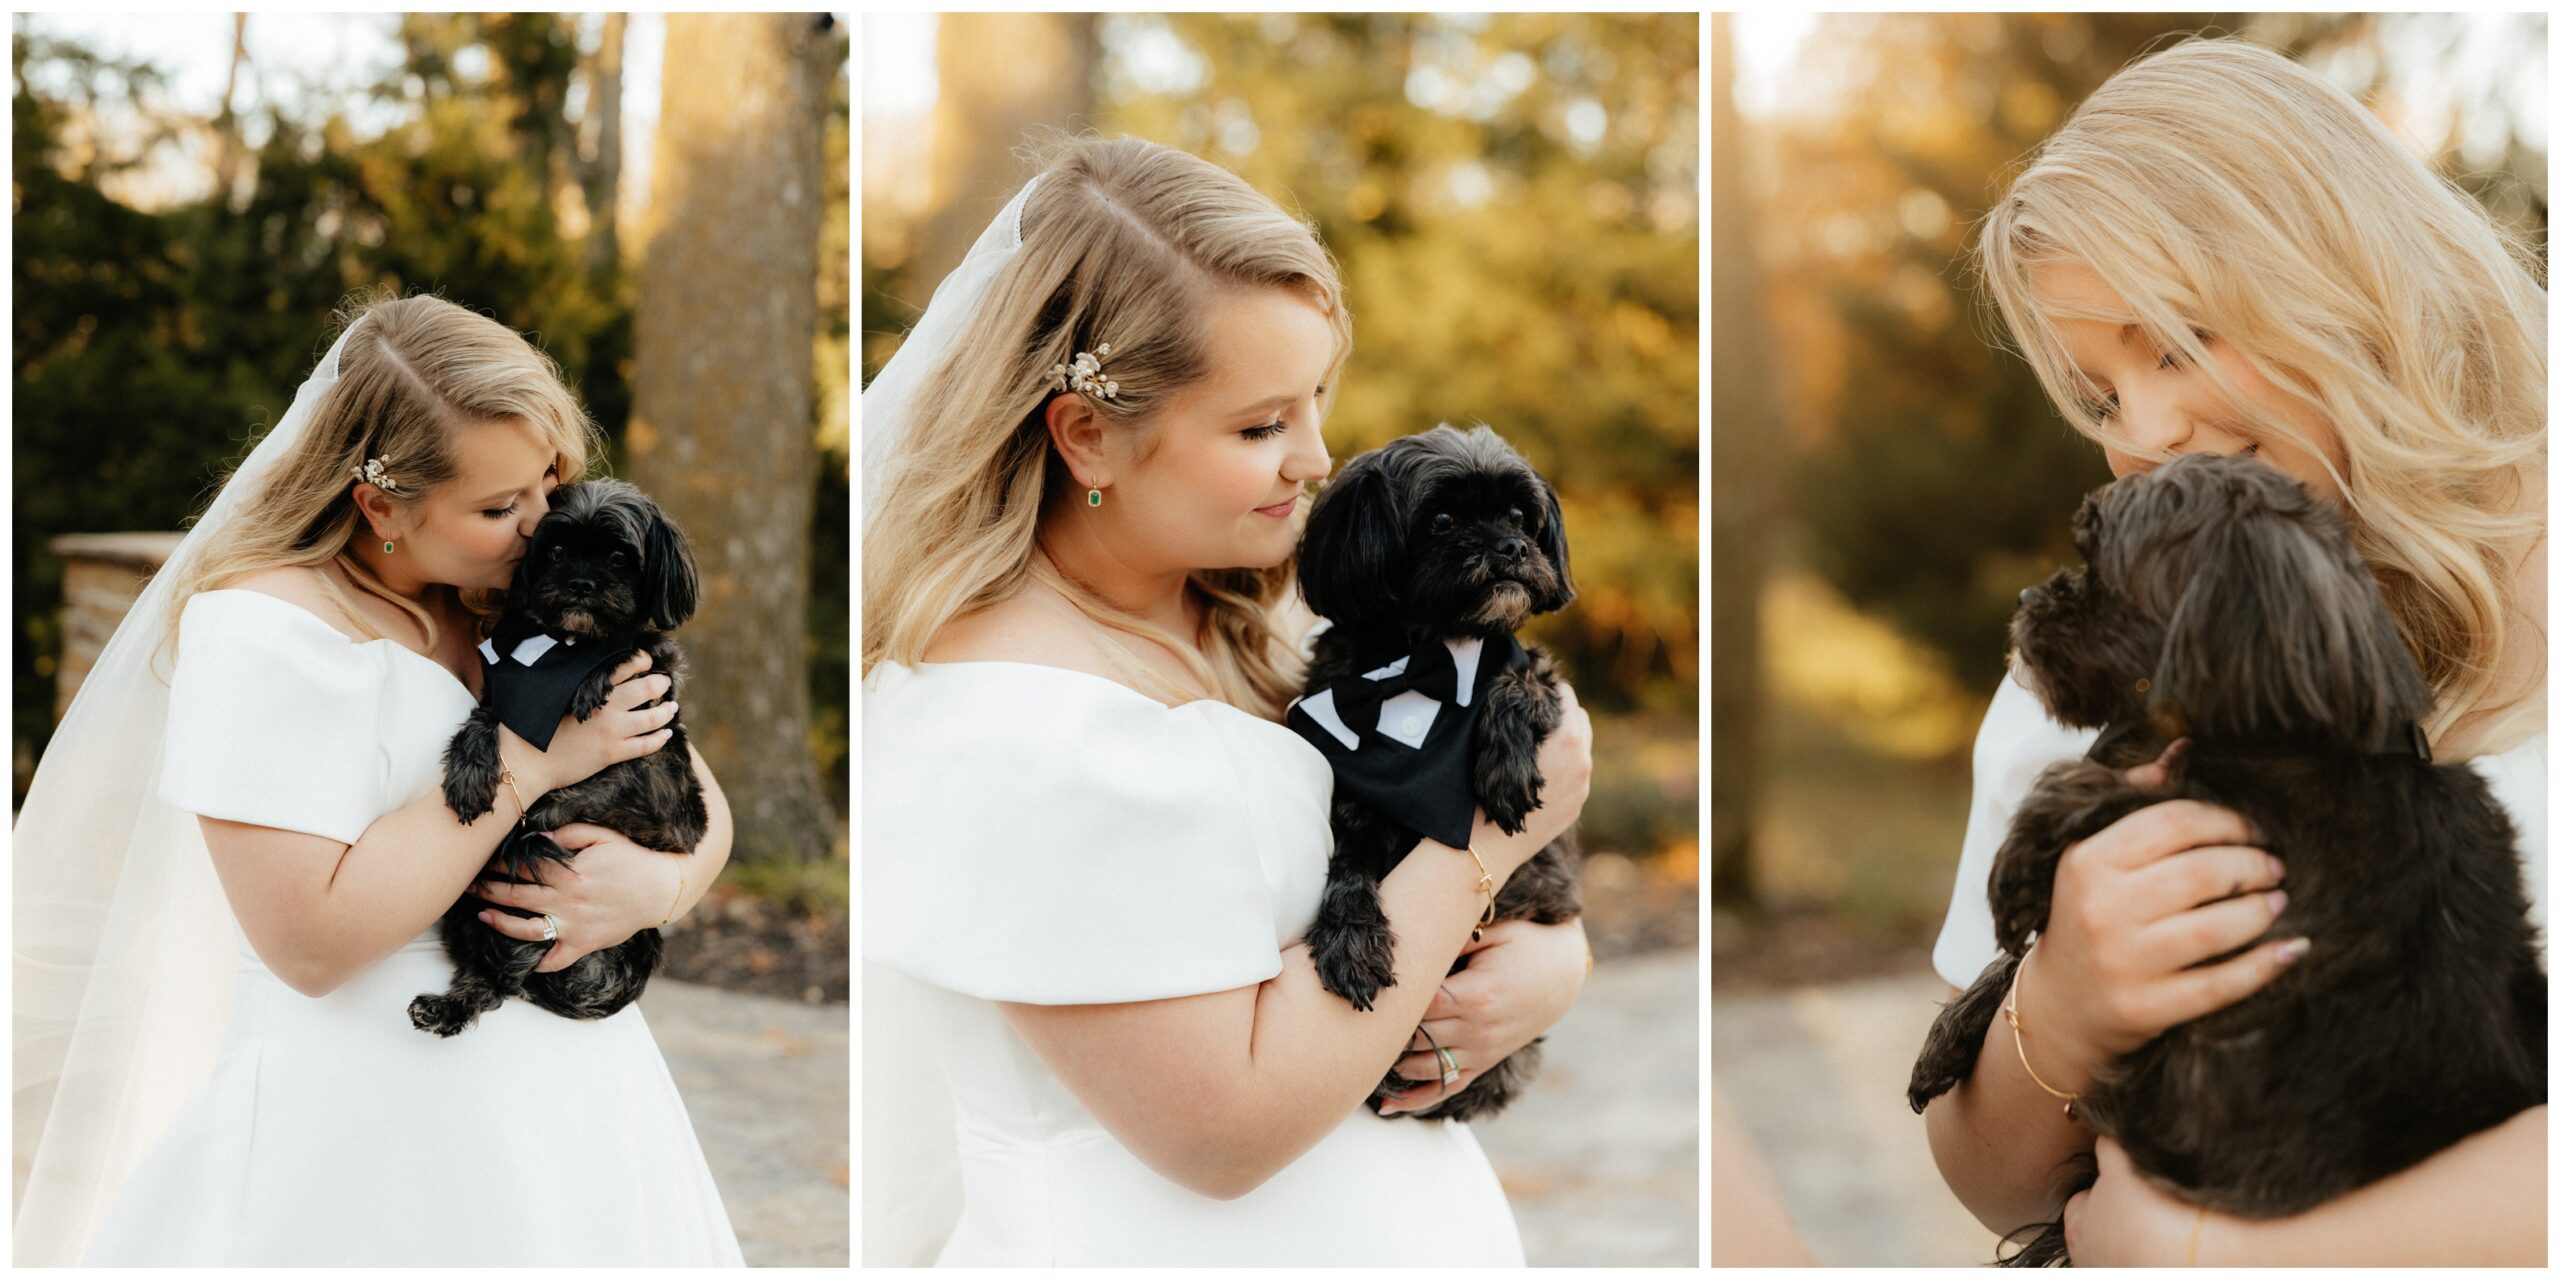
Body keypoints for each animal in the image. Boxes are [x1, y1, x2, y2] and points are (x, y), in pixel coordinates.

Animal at [412, 476, 711, 1034]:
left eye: (618, 557)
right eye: (554, 551)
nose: (580, 584)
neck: (561, 646)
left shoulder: (668, 795)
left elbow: (627, 657)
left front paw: (596, 676)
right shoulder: (503, 701)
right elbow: (486, 721)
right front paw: (470, 775)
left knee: (501, 979)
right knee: (491, 978)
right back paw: (445, 1007)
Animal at [1300, 422, 1576, 1121]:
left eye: (1520, 516)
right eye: (1441, 520)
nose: (1511, 547)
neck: (1421, 664)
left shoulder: (1534, 670)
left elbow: (1524, 679)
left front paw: (1506, 763)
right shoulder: (1354, 802)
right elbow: (1347, 867)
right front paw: (1352, 942)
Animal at [1904, 455, 2539, 1264]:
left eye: (2099, 561)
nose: (2025, 598)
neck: (2279, 742)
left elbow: (2114, 791)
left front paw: (2025, 851)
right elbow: (2025, 964)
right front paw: (1948, 1034)